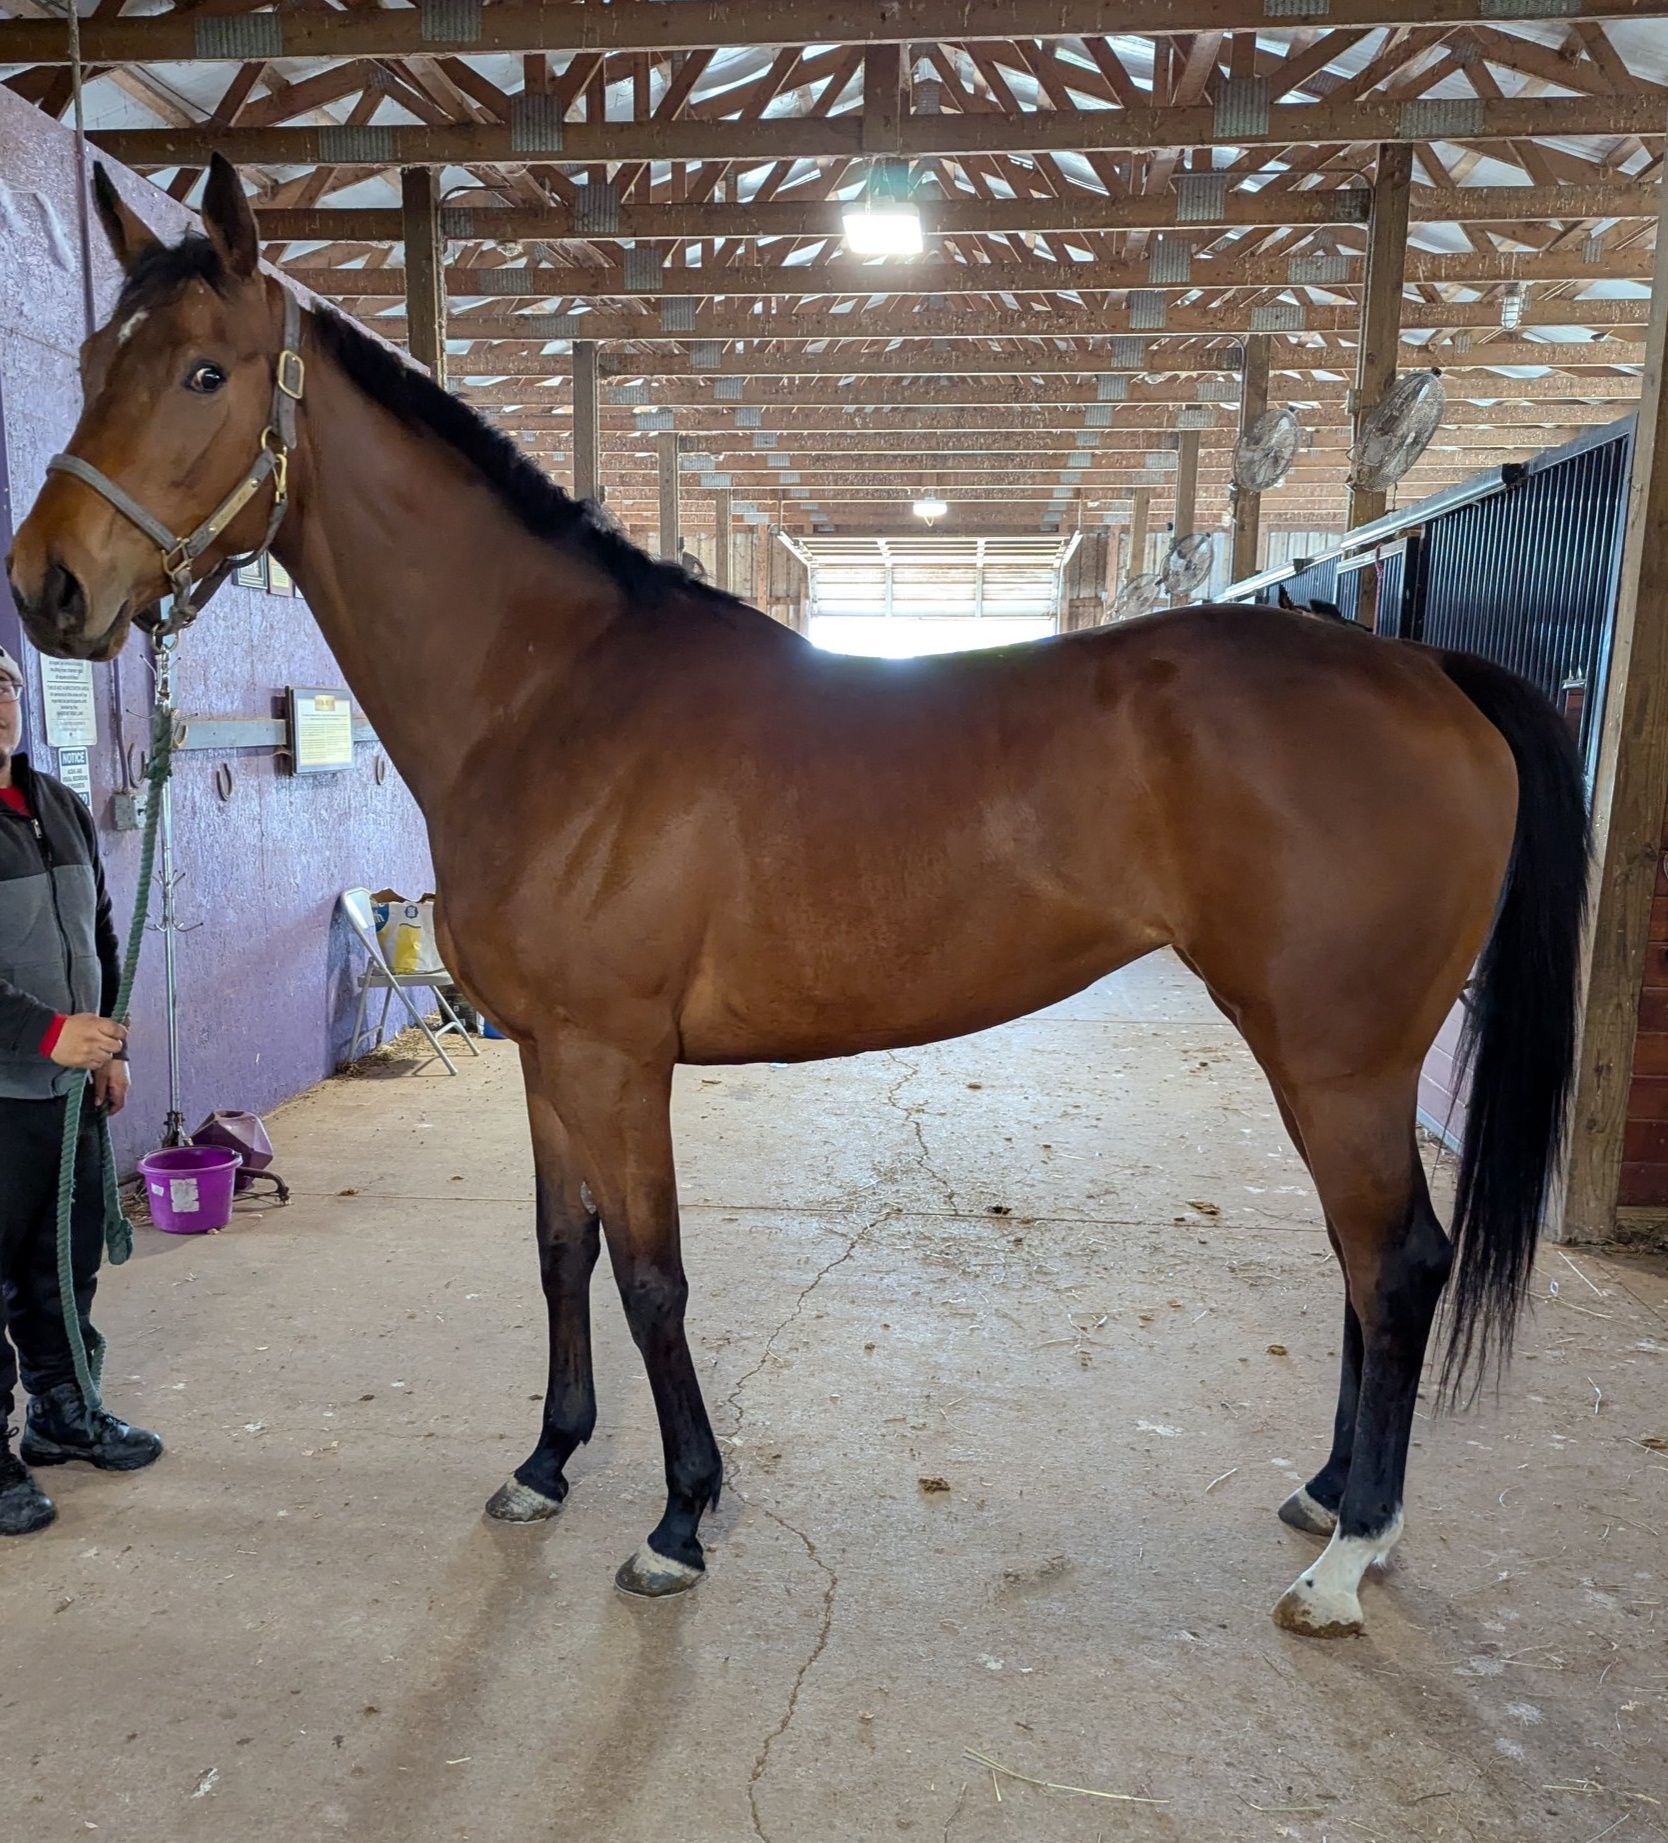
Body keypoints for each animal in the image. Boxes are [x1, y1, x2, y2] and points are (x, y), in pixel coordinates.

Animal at [8, 159, 1588, 1638]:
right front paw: (547, 1462)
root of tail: (1426, 668)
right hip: (1321, 1055)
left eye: (204, 372)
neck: (549, 696)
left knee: (1397, 1262)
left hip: (1341, 1057)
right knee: (1359, 1260)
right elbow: (561, 1253)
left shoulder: (617, 1057)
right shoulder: (547, 1056)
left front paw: (679, 1517)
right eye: (88, 362)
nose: (49, 586)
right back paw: (1326, 1493)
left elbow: (652, 1277)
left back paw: (1349, 1554)